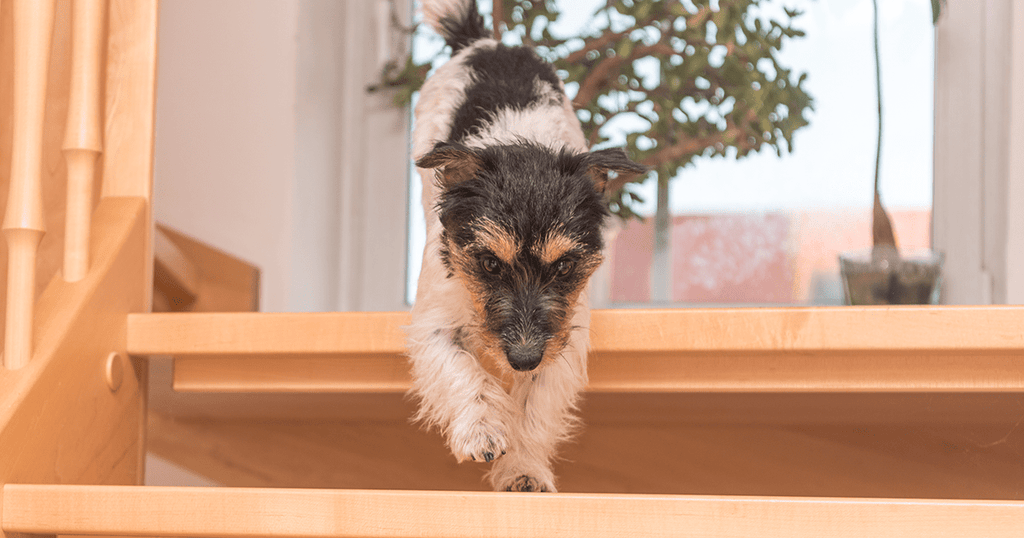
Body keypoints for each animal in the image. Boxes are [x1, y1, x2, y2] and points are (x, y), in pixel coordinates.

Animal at [405, 0, 638, 489]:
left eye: (564, 266)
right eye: (490, 264)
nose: (524, 359)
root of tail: (484, 41)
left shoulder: (564, 335)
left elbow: (535, 407)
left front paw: (523, 469)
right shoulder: (434, 322)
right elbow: (461, 370)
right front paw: (481, 429)